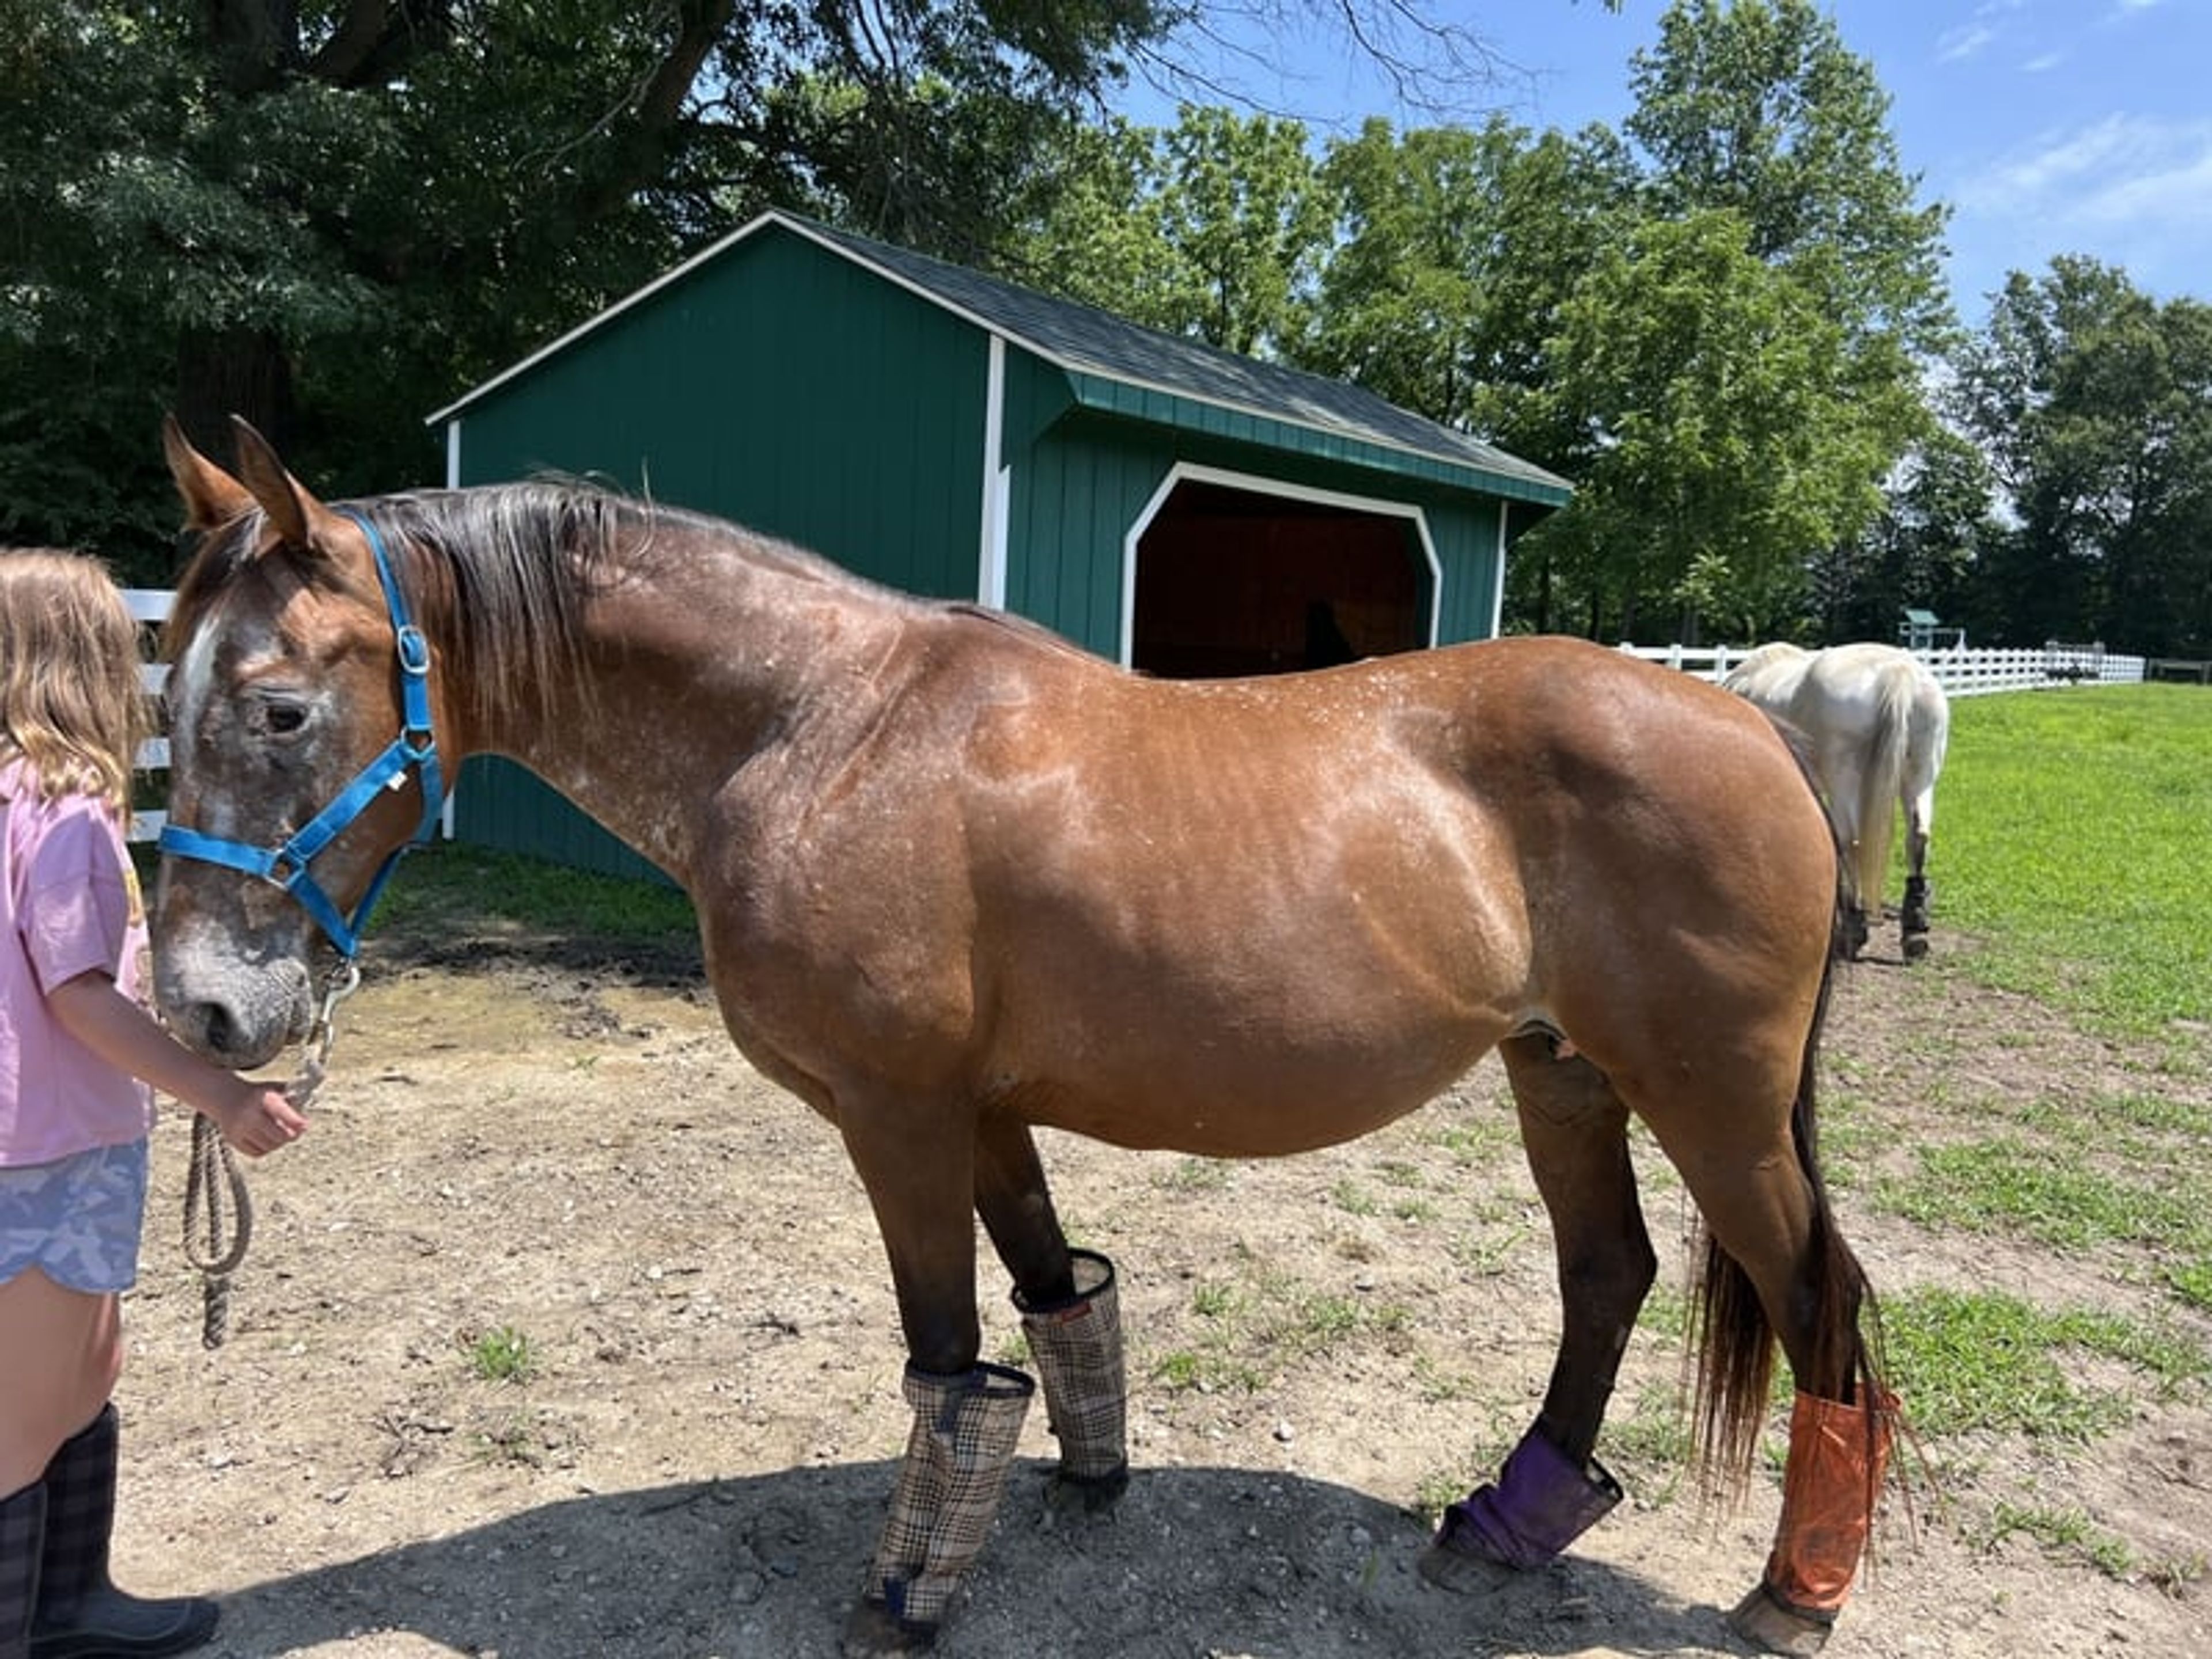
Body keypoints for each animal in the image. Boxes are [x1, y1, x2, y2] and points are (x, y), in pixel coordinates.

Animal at [150, 418, 1895, 1659]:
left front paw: (907, 1596)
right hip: (1563, 1074)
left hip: (1713, 1101)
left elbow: (945, 1364)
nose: (206, 1009)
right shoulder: (983, 1108)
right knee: (1607, 1274)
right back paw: (1512, 1525)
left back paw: (1792, 1598)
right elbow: (1060, 1299)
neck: (820, 728)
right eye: (162, 703)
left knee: (1816, 1302)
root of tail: (1757, 722)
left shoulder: (898, 1111)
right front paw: (1088, 1480)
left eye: (282, 710)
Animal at [1723, 642, 1951, 962]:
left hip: (1844, 775)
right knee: (1917, 836)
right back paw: (1914, 934)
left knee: (1851, 842)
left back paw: (1853, 932)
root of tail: (1897, 672)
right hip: (1921, 773)